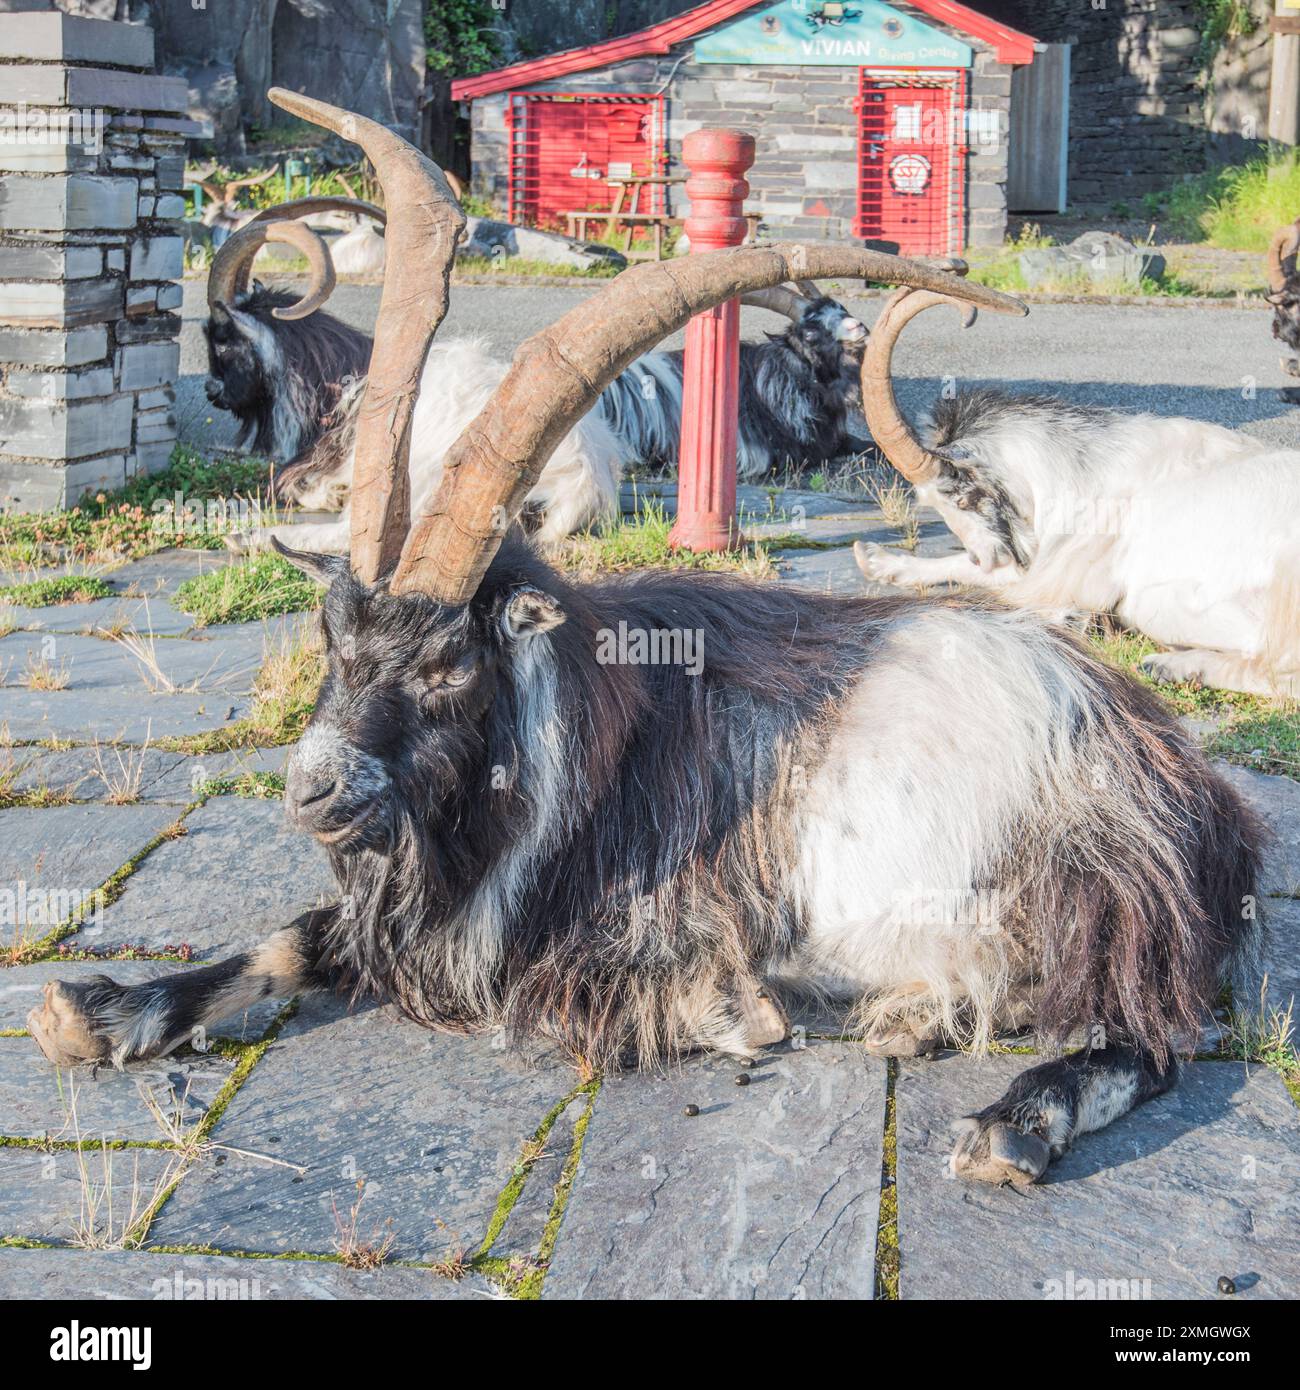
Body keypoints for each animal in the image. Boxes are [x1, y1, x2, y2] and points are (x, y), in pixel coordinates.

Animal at [853, 289, 1300, 700]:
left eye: (960, 499)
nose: (987, 558)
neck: (1091, 472)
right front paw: (877, 560)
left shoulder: (1072, 570)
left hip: (1172, 603)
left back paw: (1169, 665)